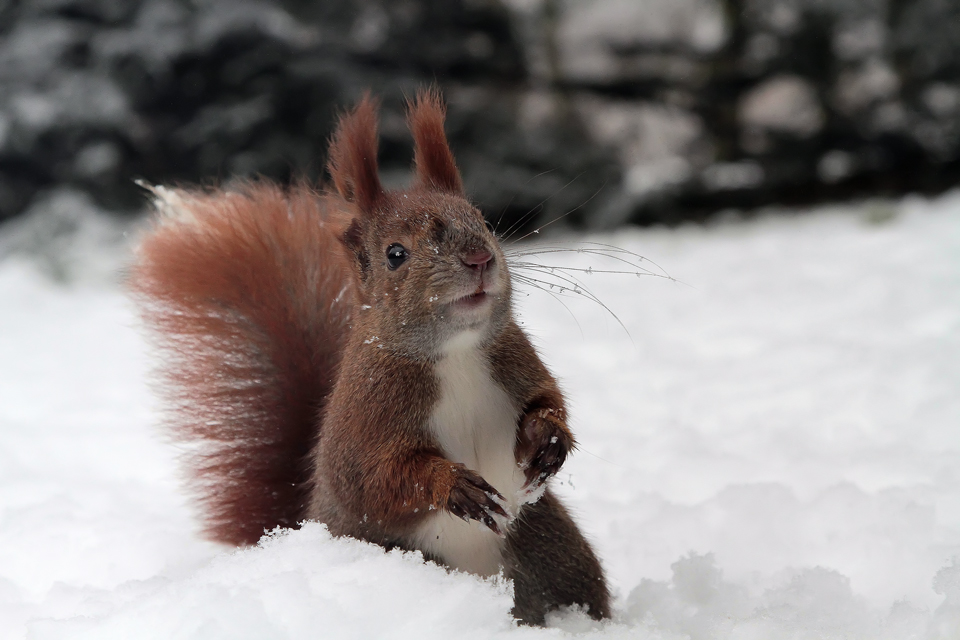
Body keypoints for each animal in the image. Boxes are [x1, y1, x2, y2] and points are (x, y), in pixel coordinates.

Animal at [127, 90, 612, 624]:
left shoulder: (515, 362)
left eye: (484, 221)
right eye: (395, 254)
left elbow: (548, 401)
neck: (457, 355)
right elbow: (374, 481)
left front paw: (549, 439)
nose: (479, 259)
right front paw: (451, 484)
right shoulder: (366, 416)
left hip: (552, 548)